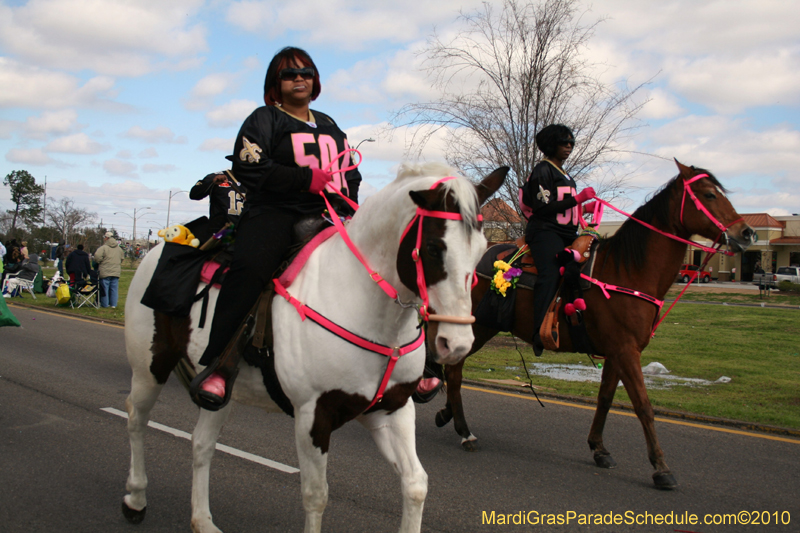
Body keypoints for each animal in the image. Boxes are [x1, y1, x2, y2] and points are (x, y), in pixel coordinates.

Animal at [120, 163, 506, 532]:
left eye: (481, 250)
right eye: (433, 248)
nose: (456, 343)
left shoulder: (391, 411)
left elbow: (415, 485)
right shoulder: (314, 416)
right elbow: (316, 496)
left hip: (220, 394)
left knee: (201, 444)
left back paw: (202, 521)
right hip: (150, 367)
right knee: (137, 418)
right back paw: (135, 499)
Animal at [432, 160, 756, 488]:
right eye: (709, 194)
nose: (747, 233)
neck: (627, 271)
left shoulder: (616, 352)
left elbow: (605, 399)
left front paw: (599, 448)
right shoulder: (626, 351)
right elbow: (643, 406)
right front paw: (661, 467)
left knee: (452, 370)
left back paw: (449, 416)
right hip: (476, 327)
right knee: (455, 372)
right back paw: (464, 432)